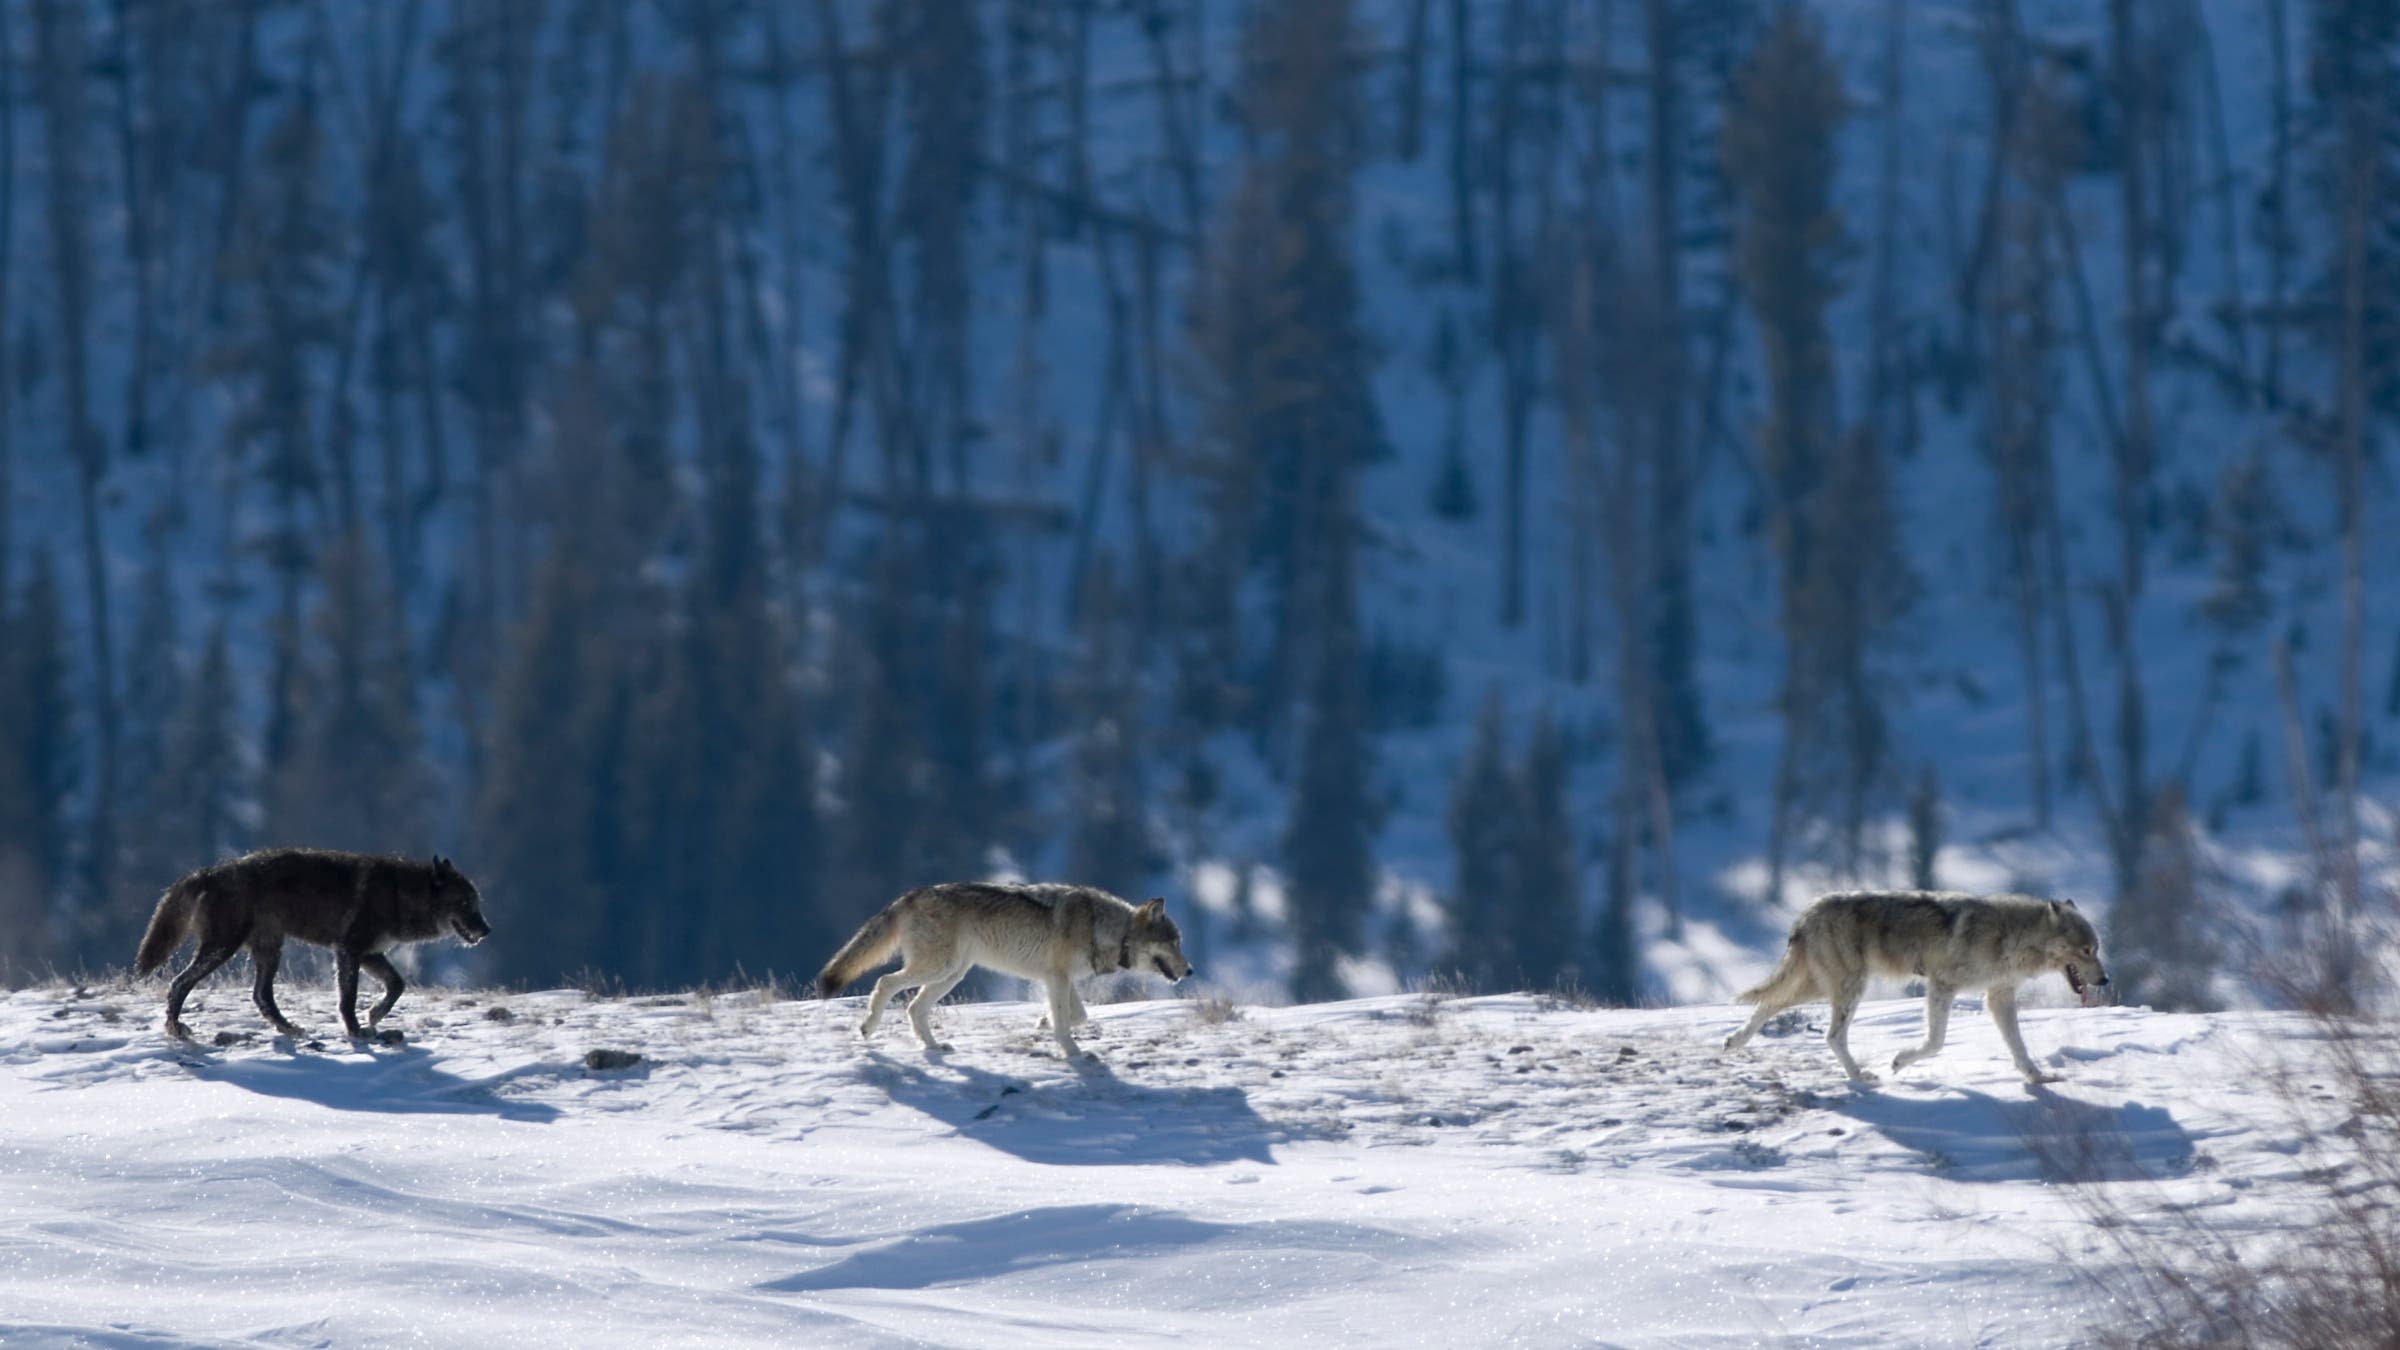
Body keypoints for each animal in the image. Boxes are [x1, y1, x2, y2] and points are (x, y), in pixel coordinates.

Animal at [133, 848, 491, 1042]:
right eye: (464, 903)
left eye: (476, 903)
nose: (487, 930)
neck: (398, 895)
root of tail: (207, 871)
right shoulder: (348, 951)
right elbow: (347, 1000)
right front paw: (356, 1030)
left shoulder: (370, 954)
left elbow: (397, 985)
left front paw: (374, 1016)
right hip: (223, 948)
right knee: (179, 984)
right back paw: (176, 1029)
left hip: (268, 950)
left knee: (261, 996)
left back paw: (291, 1030)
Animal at [815, 882, 1194, 1059]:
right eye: (1174, 943)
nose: (1190, 970)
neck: (1103, 928)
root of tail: (909, 895)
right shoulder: (1056, 978)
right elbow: (1067, 1024)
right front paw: (1073, 1053)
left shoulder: (1059, 980)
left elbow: (1078, 1016)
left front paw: (1043, 1023)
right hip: (937, 969)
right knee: (884, 982)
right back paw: (868, 1027)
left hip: (950, 975)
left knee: (913, 1007)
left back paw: (934, 1048)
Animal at [1721, 890, 2111, 1084]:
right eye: (2086, 951)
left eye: (2096, 949)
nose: (2105, 980)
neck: (2013, 938)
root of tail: (1805, 912)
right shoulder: (1942, 985)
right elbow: (1935, 1042)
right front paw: (1898, 1062)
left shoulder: (1998, 998)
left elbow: (2020, 1049)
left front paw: (2039, 1078)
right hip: (1848, 988)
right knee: (1831, 1035)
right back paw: (1861, 1077)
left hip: (1822, 987)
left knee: (1769, 1004)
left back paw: (1734, 1042)